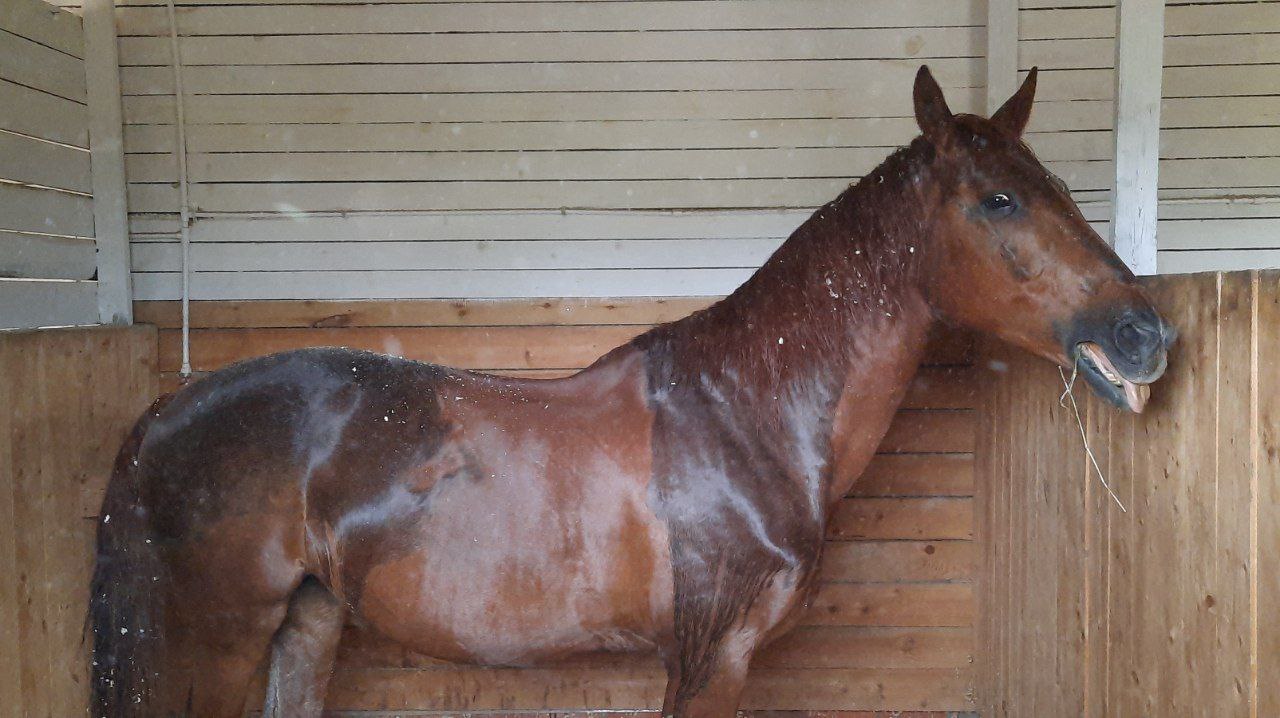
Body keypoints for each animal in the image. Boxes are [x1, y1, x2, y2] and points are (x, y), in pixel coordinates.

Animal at [87, 64, 1172, 711]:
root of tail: (160, 418)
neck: (742, 417)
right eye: (1000, 198)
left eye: (1059, 188)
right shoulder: (709, 661)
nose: (1145, 331)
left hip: (303, 633)